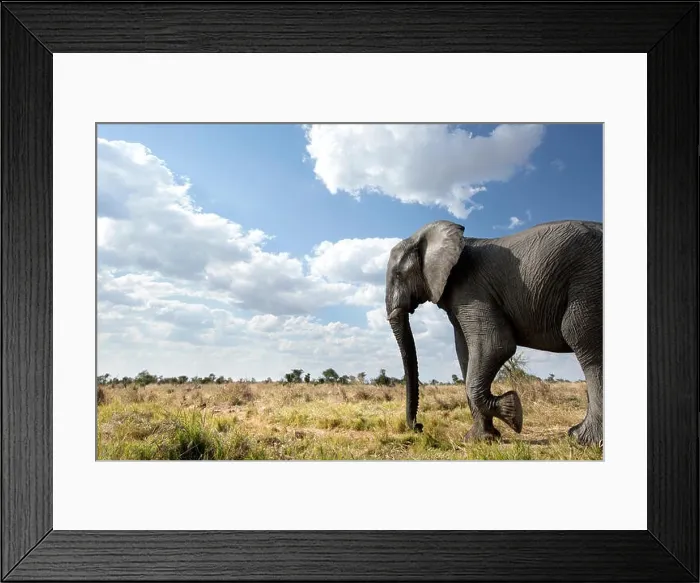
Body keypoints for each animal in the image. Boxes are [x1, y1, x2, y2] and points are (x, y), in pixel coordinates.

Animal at [385, 219, 603, 447]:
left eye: (398, 275)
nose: (419, 427)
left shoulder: (472, 290)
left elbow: (496, 345)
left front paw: (513, 414)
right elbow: (465, 354)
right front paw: (480, 440)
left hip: (588, 280)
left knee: (581, 339)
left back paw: (583, 440)